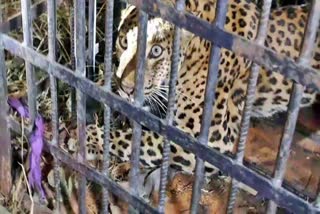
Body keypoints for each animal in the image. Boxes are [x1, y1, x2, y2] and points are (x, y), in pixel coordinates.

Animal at [70, 0, 320, 191]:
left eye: (156, 51)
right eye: (123, 42)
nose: (127, 88)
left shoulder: (213, 140)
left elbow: (138, 140)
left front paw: (83, 137)